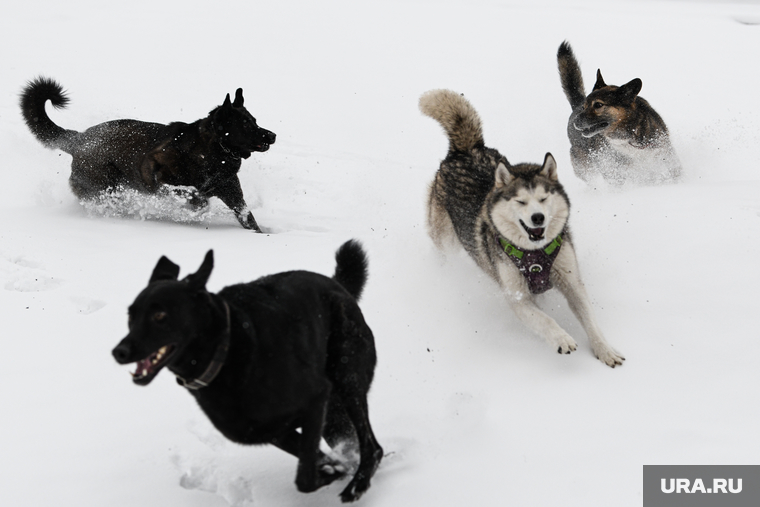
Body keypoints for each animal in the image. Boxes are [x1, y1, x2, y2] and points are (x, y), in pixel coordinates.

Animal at [19, 76, 276, 231]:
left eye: (254, 121)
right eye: (246, 125)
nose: (272, 135)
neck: (210, 152)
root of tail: (79, 138)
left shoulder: (232, 194)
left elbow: (248, 217)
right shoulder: (156, 173)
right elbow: (188, 192)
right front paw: (197, 204)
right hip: (105, 188)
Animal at [556, 41, 680, 185]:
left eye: (598, 105)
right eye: (584, 107)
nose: (575, 122)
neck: (628, 137)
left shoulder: (666, 157)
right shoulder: (616, 171)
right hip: (586, 168)